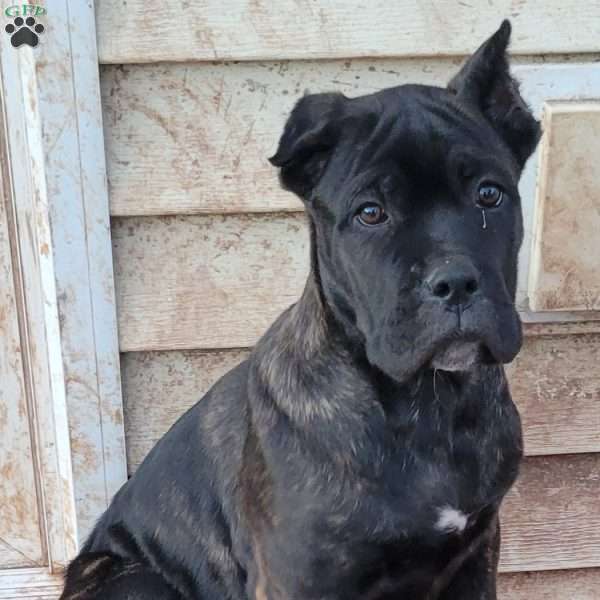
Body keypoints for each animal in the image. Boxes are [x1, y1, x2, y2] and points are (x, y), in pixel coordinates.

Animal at [61, 21, 540, 600]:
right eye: (370, 213)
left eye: (490, 195)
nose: (454, 283)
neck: (429, 404)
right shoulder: (301, 576)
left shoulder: (475, 553)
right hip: (138, 581)